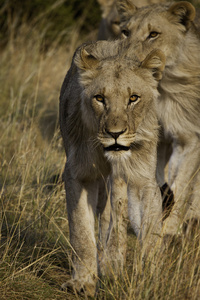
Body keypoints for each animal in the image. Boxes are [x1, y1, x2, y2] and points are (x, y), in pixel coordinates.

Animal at [59, 40, 166, 298]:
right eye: (99, 98)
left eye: (133, 98)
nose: (115, 134)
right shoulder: (78, 172)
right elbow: (81, 231)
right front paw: (83, 282)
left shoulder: (142, 178)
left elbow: (151, 232)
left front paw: (150, 280)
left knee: (115, 216)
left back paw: (112, 263)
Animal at [116, 0, 200, 234]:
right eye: (125, 32)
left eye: (153, 34)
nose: (125, 61)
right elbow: (153, 180)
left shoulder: (190, 138)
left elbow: (181, 183)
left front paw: (170, 229)